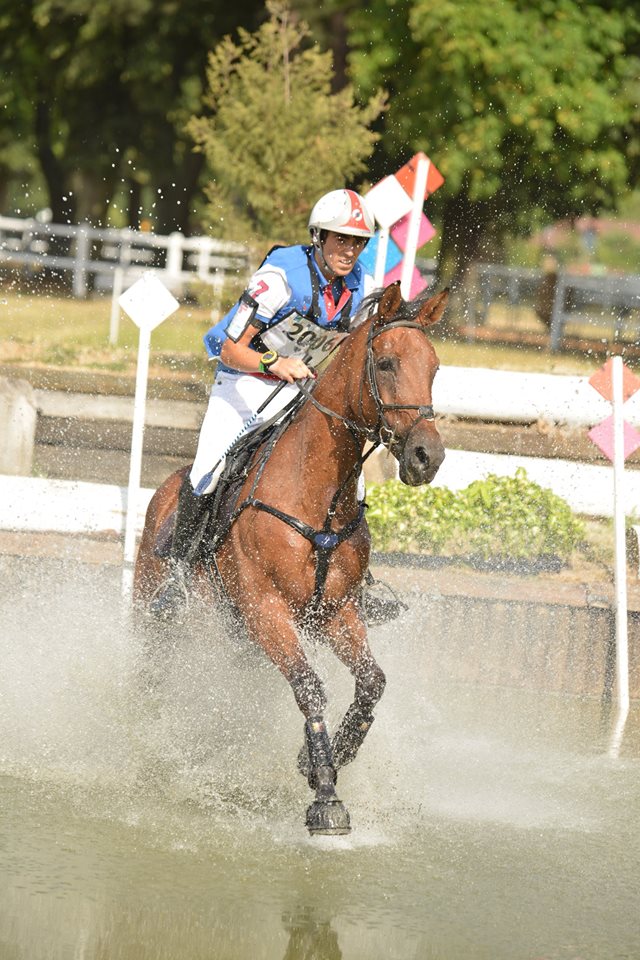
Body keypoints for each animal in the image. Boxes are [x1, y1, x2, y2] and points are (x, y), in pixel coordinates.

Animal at [133, 282, 448, 836]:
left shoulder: (334, 612)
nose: (426, 457)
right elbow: (309, 688)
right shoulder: (266, 609)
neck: (315, 491)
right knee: (152, 674)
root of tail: (164, 492)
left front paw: (323, 757)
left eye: (433, 367)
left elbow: (371, 684)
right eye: (386, 363)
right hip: (161, 617)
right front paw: (325, 794)